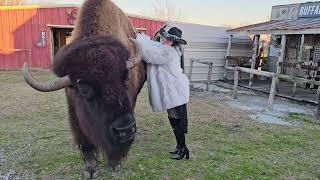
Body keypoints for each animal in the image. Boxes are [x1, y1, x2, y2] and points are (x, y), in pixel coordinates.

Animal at [22, 0, 146, 177]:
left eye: (125, 77)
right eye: (82, 88)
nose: (125, 130)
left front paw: (115, 164)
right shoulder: (74, 115)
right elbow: (85, 144)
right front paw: (90, 170)